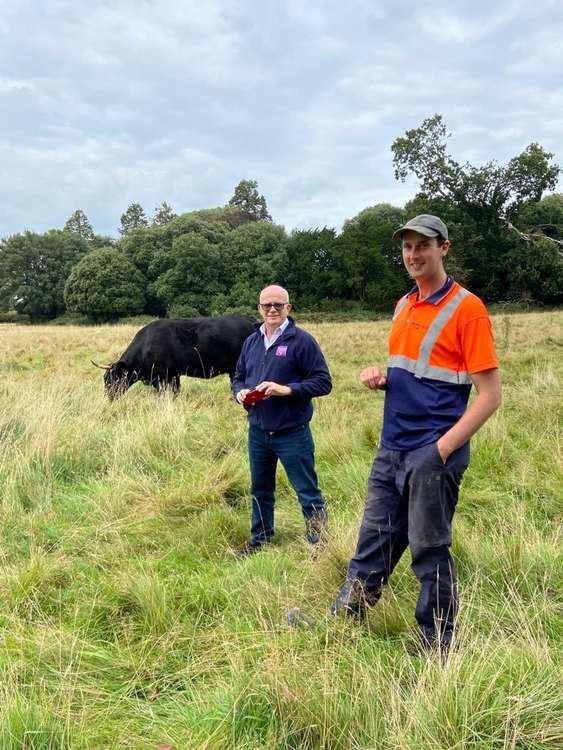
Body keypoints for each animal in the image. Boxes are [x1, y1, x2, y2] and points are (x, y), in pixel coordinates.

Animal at [93, 316, 260, 402]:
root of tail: (251, 320)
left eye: (112, 378)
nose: (108, 398)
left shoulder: (162, 376)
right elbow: (175, 392)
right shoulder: (173, 375)